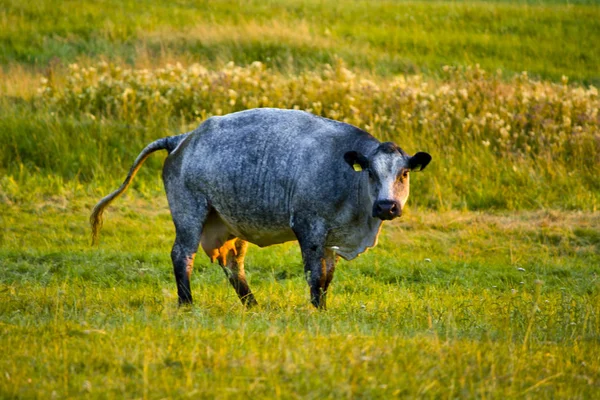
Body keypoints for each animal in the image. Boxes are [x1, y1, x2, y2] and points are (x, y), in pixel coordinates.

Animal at [90, 107, 432, 310]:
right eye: (371, 172)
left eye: (404, 174)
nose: (387, 206)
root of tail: (184, 137)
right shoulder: (308, 227)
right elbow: (314, 275)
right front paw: (316, 310)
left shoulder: (332, 238)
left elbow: (327, 277)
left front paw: (323, 307)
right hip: (190, 213)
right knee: (181, 255)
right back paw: (186, 303)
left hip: (229, 223)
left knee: (233, 264)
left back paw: (251, 305)